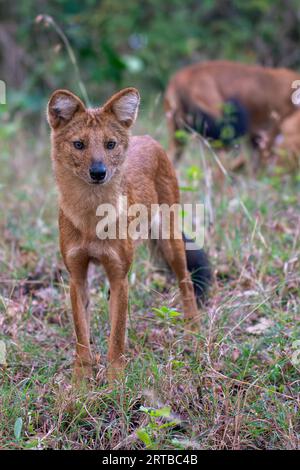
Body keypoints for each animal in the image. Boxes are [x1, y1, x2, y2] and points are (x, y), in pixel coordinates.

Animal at [47, 87, 211, 382]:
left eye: (110, 144)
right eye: (79, 144)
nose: (98, 172)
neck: (91, 219)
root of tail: (147, 138)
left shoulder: (119, 275)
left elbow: (117, 335)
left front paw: (114, 380)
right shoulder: (77, 276)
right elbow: (81, 335)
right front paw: (81, 381)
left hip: (171, 243)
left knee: (186, 282)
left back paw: (193, 330)